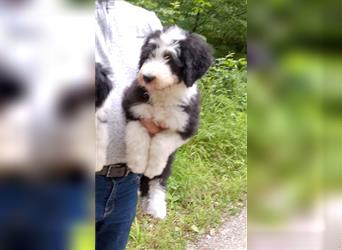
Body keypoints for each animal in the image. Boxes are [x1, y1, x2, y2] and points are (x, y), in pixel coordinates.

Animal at [123, 25, 214, 219]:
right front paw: (138, 163)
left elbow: (161, 142)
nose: (147, 77)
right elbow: (138, 138)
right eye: (149, 55)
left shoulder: (186, 126)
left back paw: (157, 206)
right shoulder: (132, 109)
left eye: (169, 58)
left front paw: (151, 167)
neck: (163, 94)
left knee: (158, 180)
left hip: (170, 161)